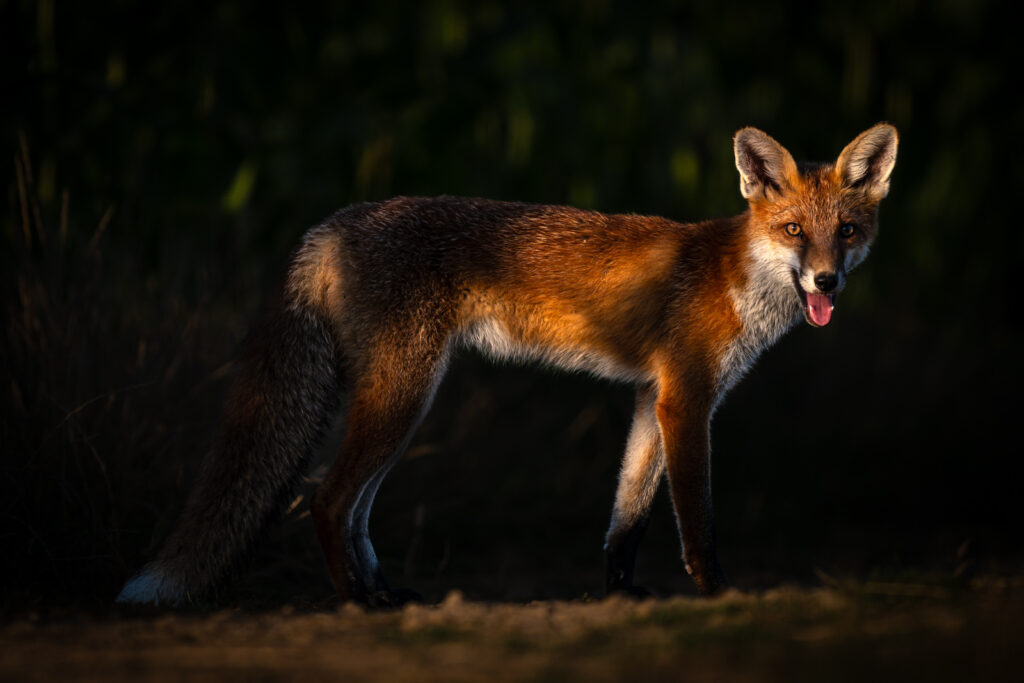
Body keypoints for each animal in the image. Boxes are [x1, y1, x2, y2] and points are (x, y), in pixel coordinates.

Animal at [117, 124, 898, 606]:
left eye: (846, 232)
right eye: (793, 231)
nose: (826, 281)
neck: (739, 279)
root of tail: (333, 223)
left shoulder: (653, 397)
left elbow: (627, 516)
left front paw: (619, 594)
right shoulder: (687, 397)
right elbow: (694, 516)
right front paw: (715, 592)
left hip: (403, 397)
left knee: (354, 506)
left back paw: (382, 593)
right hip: (405, 393)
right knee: (326, 499)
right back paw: (354, 603)